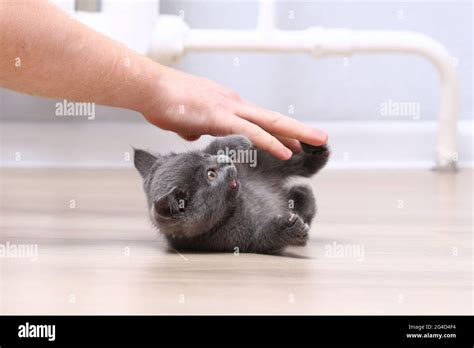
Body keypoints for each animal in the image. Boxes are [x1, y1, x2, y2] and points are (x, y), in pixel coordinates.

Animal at [132, 135, 326, 253]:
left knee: (297, 164)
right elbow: (263, 239)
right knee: (305, 193)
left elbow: (216, 143)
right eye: (211, 175)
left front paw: (238, 140)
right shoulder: (236, 241)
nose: (226, 161)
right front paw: (291, 229)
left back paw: (314, 147)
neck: (237, 204)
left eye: (204, 156)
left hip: (260, 165)